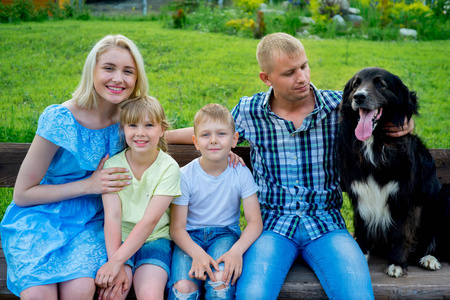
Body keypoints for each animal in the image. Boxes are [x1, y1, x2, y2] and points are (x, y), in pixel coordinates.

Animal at [336, 67, 448, 276]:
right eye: (355, 84)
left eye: (380, 84)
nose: (358, 97)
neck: (375, 143)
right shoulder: (359, 195)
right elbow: (362, 226)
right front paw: (362, 253)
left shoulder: (405, 198)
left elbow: (401, 232)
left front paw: (396, 263)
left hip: (445, 195)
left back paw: (429, 258)